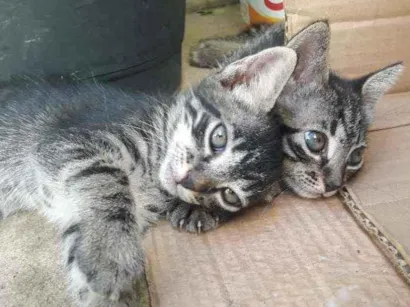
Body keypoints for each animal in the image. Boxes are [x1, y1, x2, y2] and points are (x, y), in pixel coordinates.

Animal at [0, 47, 296, 306]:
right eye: (219, 138)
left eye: (229, 195)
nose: (188, 182)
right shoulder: (69, 143)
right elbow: (108, 179)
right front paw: (112, 254)